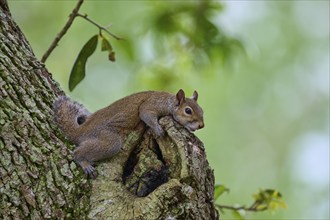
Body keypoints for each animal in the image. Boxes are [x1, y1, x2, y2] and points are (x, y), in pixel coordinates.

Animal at [53, 88, 204, 178]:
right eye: (188, 110)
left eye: (201, 110)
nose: (201, 125)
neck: (168, 102)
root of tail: (81, 130)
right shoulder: (151, 104)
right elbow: (146, 114)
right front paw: (158, 129)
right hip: (108, 140)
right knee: (79, 152)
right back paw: (83, 162)